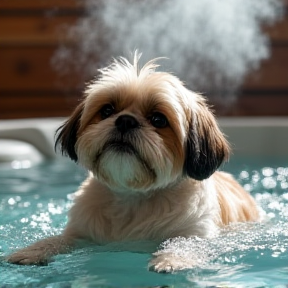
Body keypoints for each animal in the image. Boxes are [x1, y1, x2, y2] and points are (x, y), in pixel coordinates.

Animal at [6, 53, 258, 272]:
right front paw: (33, 251)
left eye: (158, 119)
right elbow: (60, 239)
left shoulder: (195, 231)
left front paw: (171, 259)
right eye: (107, 110)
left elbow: (183, 243)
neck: (133, 197)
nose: (125, 120)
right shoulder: (82, 233)